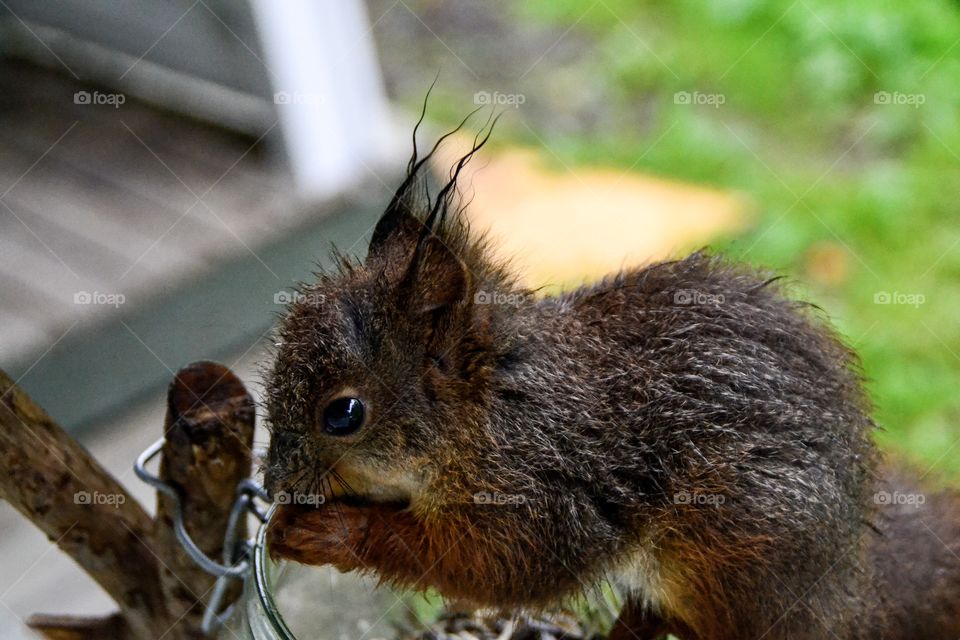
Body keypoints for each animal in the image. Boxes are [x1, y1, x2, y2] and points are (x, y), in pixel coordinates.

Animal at [264, 118, 960, 640]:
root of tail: (844, 592)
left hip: (732, 550)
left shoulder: (540, 496)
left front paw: (328, 530)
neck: (490, 412)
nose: (272, 484)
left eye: (343, 414)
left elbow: (499, 569)